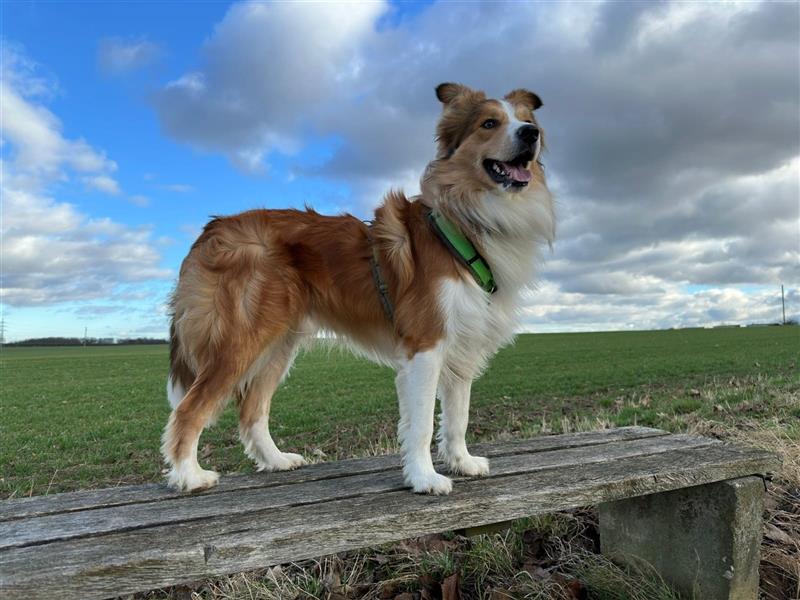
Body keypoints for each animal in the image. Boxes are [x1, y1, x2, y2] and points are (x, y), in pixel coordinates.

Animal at [159, 83, 552, 496]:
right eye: (489, 123)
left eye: (527, 120)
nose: (530, 135)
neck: (466, 222)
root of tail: (212, 229)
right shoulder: (426, 345)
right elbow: (422, 423)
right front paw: (424, 478)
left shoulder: (463, 342)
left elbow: (457, 416)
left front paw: (462, 462)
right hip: (239, 341)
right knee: (189, 409)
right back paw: (189, 476)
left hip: (278, 344)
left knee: (252, 409)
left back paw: (276, 460)